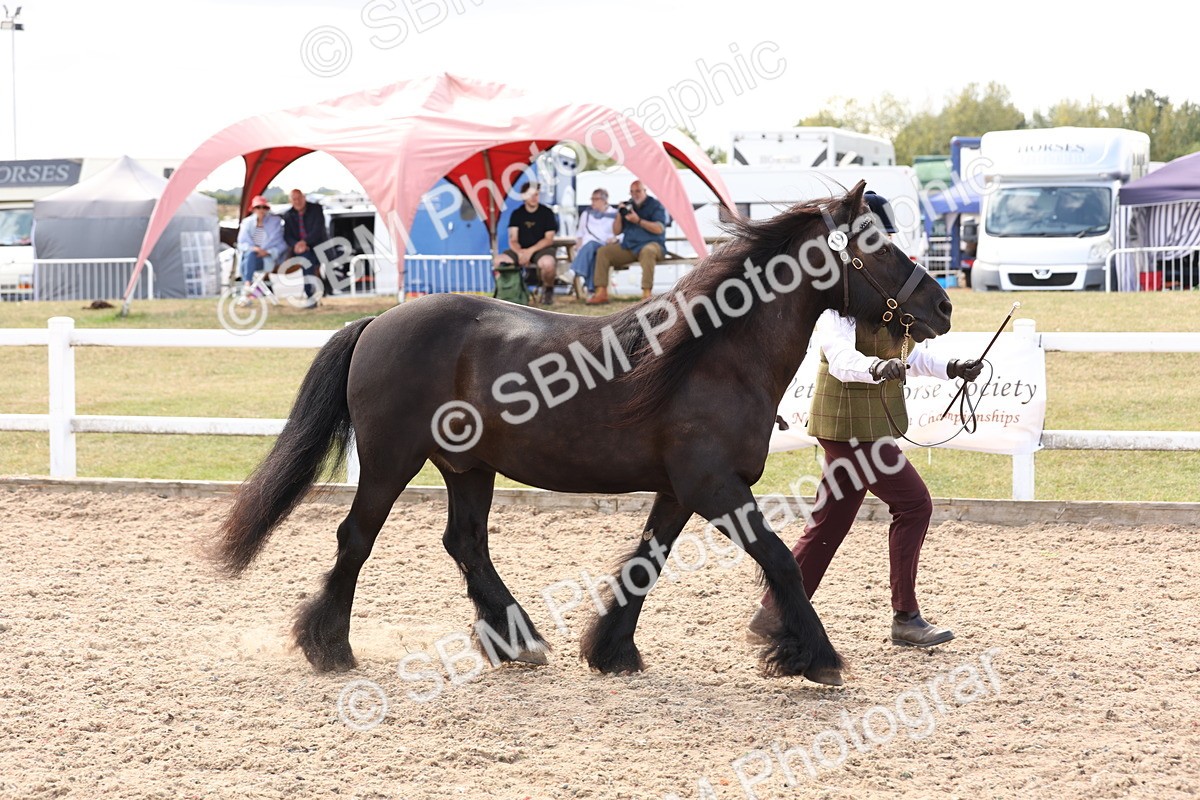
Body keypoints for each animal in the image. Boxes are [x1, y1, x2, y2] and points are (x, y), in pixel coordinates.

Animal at [215, 180, 952, 686]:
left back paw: (517, 640)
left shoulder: (682, 492)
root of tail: (375, 322)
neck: (712, 356)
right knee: (357, 538)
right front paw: (815, 656)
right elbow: (778, 559)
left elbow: (645, 563)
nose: (942, 305)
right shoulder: (714, 487)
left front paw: (612, 649)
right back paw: (330, 646)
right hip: (393, 460)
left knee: (465, 543)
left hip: (468, 468)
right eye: (876, 245)